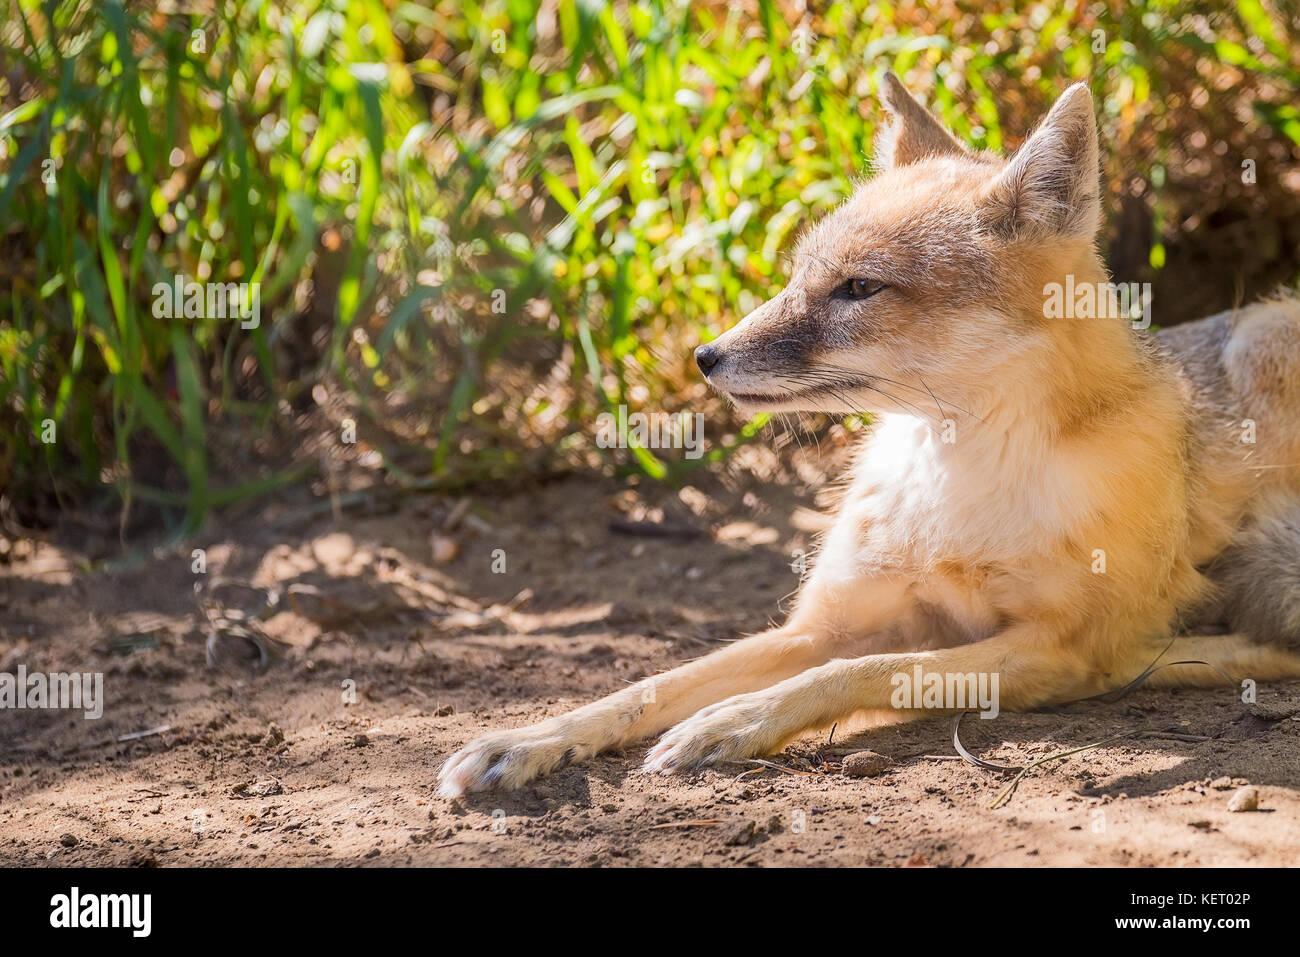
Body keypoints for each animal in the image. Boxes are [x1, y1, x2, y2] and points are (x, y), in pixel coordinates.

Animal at [434, 70, 1300, 795]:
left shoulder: (1057, 647)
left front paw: (733, 721)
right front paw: (531, 738)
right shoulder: (822, 624)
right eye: (797, 276)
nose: (707, 357)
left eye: (858, 288)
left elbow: (865, 671)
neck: (958, 482)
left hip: (1262, 339)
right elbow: (650, 683)